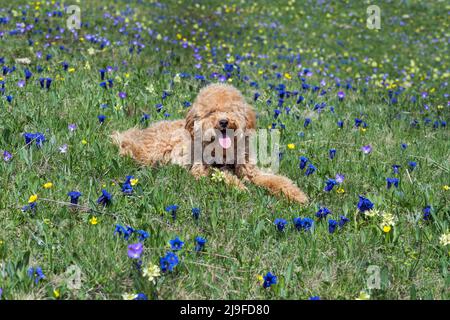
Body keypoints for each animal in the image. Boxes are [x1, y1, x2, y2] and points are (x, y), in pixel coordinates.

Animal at [112, 84, 308, 204]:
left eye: (231, 109)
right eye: (211, 111)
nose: (223, 121)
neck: (224, 151)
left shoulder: (251, 172)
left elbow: (277, 180)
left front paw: (297, 196)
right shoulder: (201, 170)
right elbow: (223, 175)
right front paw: (239, 187)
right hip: (153, 151)